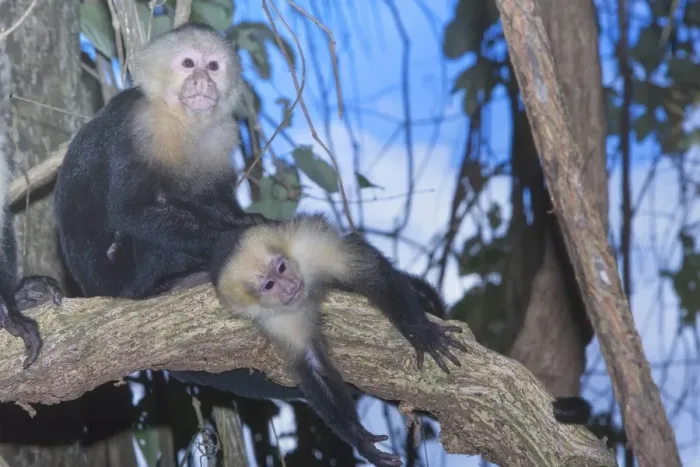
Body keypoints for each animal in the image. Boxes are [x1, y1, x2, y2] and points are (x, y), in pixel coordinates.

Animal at [208, 213, 466, 467]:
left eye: (281, 267)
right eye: (269, 285)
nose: (290, 286)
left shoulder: (308, 245)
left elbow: (370, 274)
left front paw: (420, 333)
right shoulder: (278, 319)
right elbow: (312, 363)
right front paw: (358, 437)